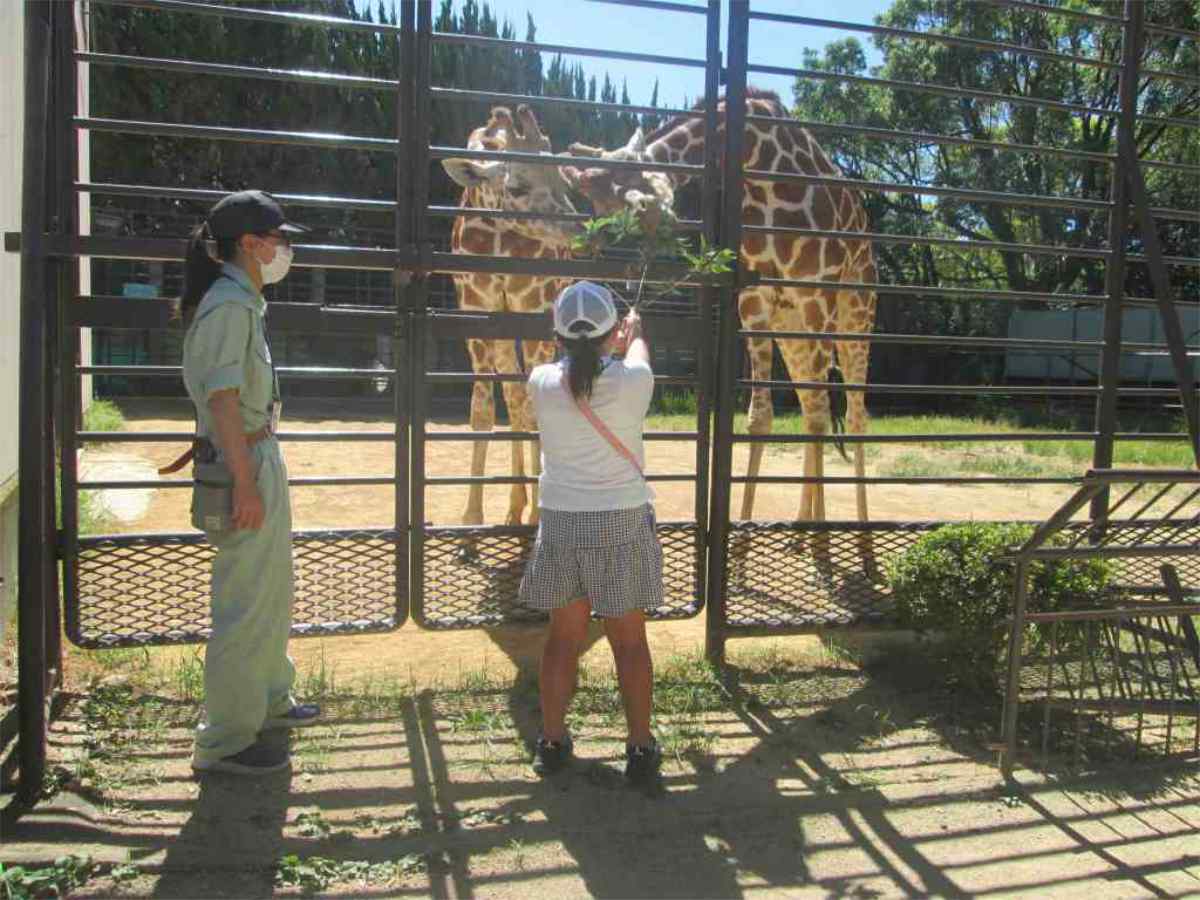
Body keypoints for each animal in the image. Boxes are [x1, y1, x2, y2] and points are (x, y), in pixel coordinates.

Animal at [441, 105, 580, 528]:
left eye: (561, 181)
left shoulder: (535, 307)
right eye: (516, 188)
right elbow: (483, 409)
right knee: (515, 395)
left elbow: (536, 405)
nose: (579, 229)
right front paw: (472, 517)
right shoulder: (476, 307)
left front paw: (537, 512)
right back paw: (513, 507)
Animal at [566, 90, 878, 535]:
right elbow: (760, 418)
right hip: (792, 328)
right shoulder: (755, 303)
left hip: (854, 310)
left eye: (634, 209)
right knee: (810, 405)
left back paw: (858, 527)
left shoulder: (815, 292)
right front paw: (749, 530)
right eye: (595, 211)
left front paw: (816, 539)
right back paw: (809, 521)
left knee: (852, 414)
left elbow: (821, 414)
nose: (622, 276)